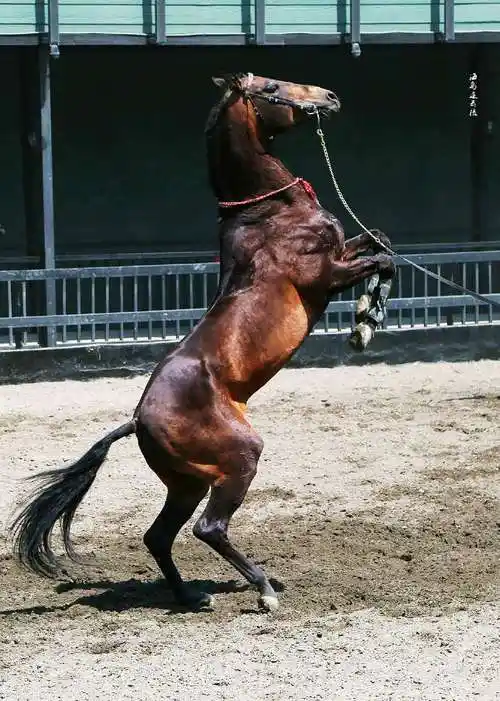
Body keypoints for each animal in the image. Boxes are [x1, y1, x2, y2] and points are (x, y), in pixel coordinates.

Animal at [11, 72, 395, 613]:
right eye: (271, 87)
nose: (330, 97)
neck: (270, 212)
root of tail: (137, 420)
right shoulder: (327, 274)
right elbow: (384, 258)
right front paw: (364, 320)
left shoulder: (344, 252)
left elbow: (381, 239)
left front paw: (369, 315)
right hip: (238, 459)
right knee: (208, 528)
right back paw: (264, 591)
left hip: (187, 482)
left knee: (159, 536)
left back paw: (192, 597)